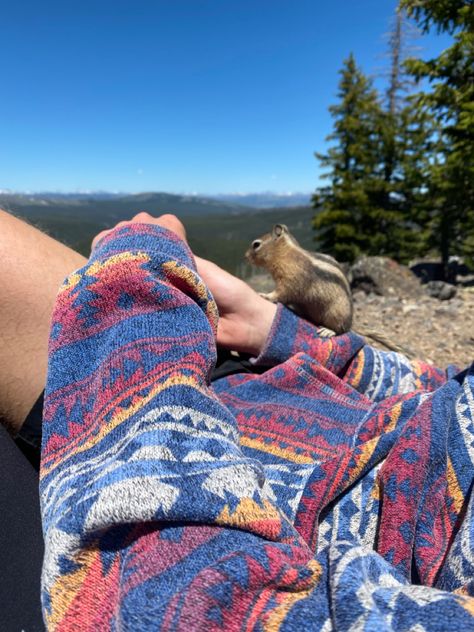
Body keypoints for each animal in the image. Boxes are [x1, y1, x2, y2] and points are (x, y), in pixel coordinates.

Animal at [248, 222, 408, 354]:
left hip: (335, 313)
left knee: (341, 330)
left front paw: (266, 295)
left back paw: (328, 331)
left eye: (256, 244)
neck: (286, 254)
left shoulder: (291, 280)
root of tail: (350, 322)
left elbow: (282, 293)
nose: (245, 256)